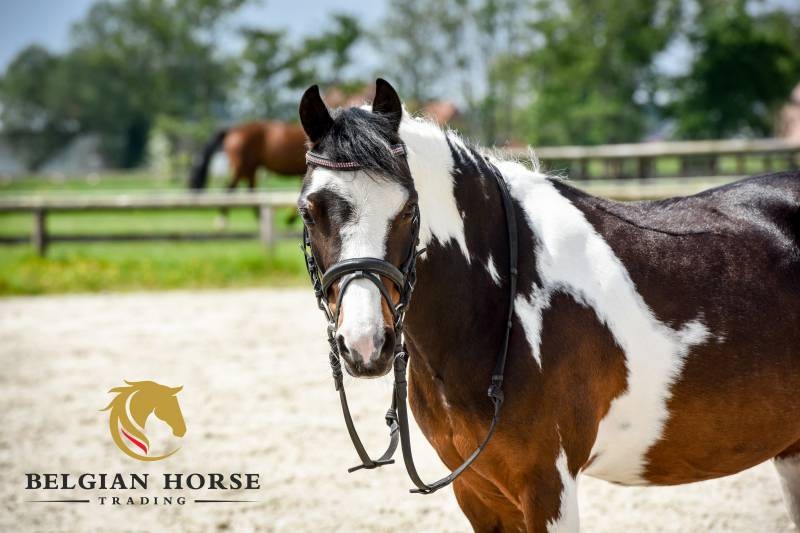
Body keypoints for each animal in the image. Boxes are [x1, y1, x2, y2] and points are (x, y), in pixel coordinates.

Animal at [296, 78, 800, 532]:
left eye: (408, 209)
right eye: (309, 210)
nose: (365, 344)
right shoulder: (477, 491)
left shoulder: (547, 486)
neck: (499, 304)